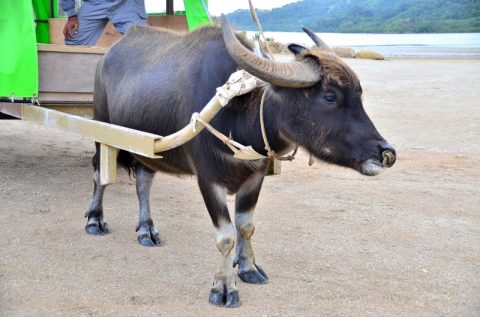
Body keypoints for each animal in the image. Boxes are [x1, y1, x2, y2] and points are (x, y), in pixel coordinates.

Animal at [88, 15, 396, 306]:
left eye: (360, 96)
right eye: (330, 97)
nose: (386, 153)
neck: (239, 113)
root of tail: (107, 57)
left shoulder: (254, 178)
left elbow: (246, 226)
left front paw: (247, 268)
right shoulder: (208, 180)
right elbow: (226, 235)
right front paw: (223, 287)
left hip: (149, 148)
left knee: (143, 181)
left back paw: (146, 229)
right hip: (102, 132)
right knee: (99, 176)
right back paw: (95, 219)